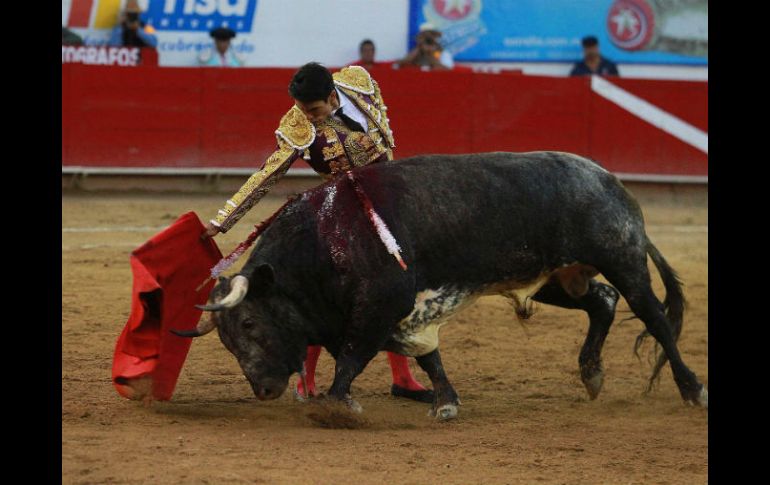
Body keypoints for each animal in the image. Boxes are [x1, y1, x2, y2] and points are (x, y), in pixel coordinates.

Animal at [171, 152, 704, 420]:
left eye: (249, 322)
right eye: (226, 338)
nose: (262, 389)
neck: (326, 238)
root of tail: (609, 180)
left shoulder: (382, 304)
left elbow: (354, 355)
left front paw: (338, 404)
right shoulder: (404, 312)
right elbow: (427, 353)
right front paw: (445, 401)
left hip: (622, 256)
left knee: (653, 315)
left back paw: (691, 389)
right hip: (559, 276)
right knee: (603, 302)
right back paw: (591, 373)